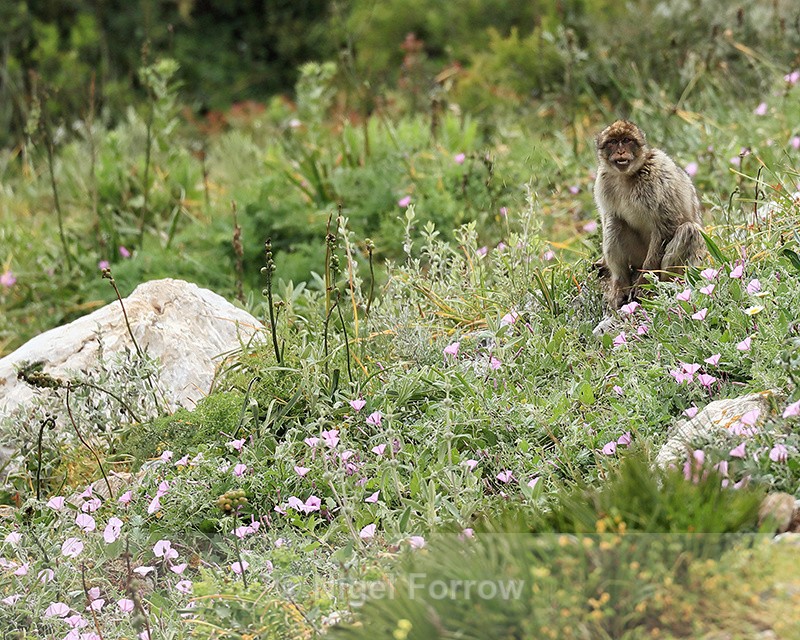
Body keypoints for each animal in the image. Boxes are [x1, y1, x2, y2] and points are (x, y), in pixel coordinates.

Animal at [593, 120, 705, 309]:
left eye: (627, 140)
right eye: (613, 142)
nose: (620, 151)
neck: (627, 176)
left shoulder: (657, 177)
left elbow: (667, 225)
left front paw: (645, 283)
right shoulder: (603, 181)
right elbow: (608, 215)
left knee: (689, 230)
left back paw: (664, 282)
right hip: (637, 256)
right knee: (614, 222)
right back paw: (621, 283)